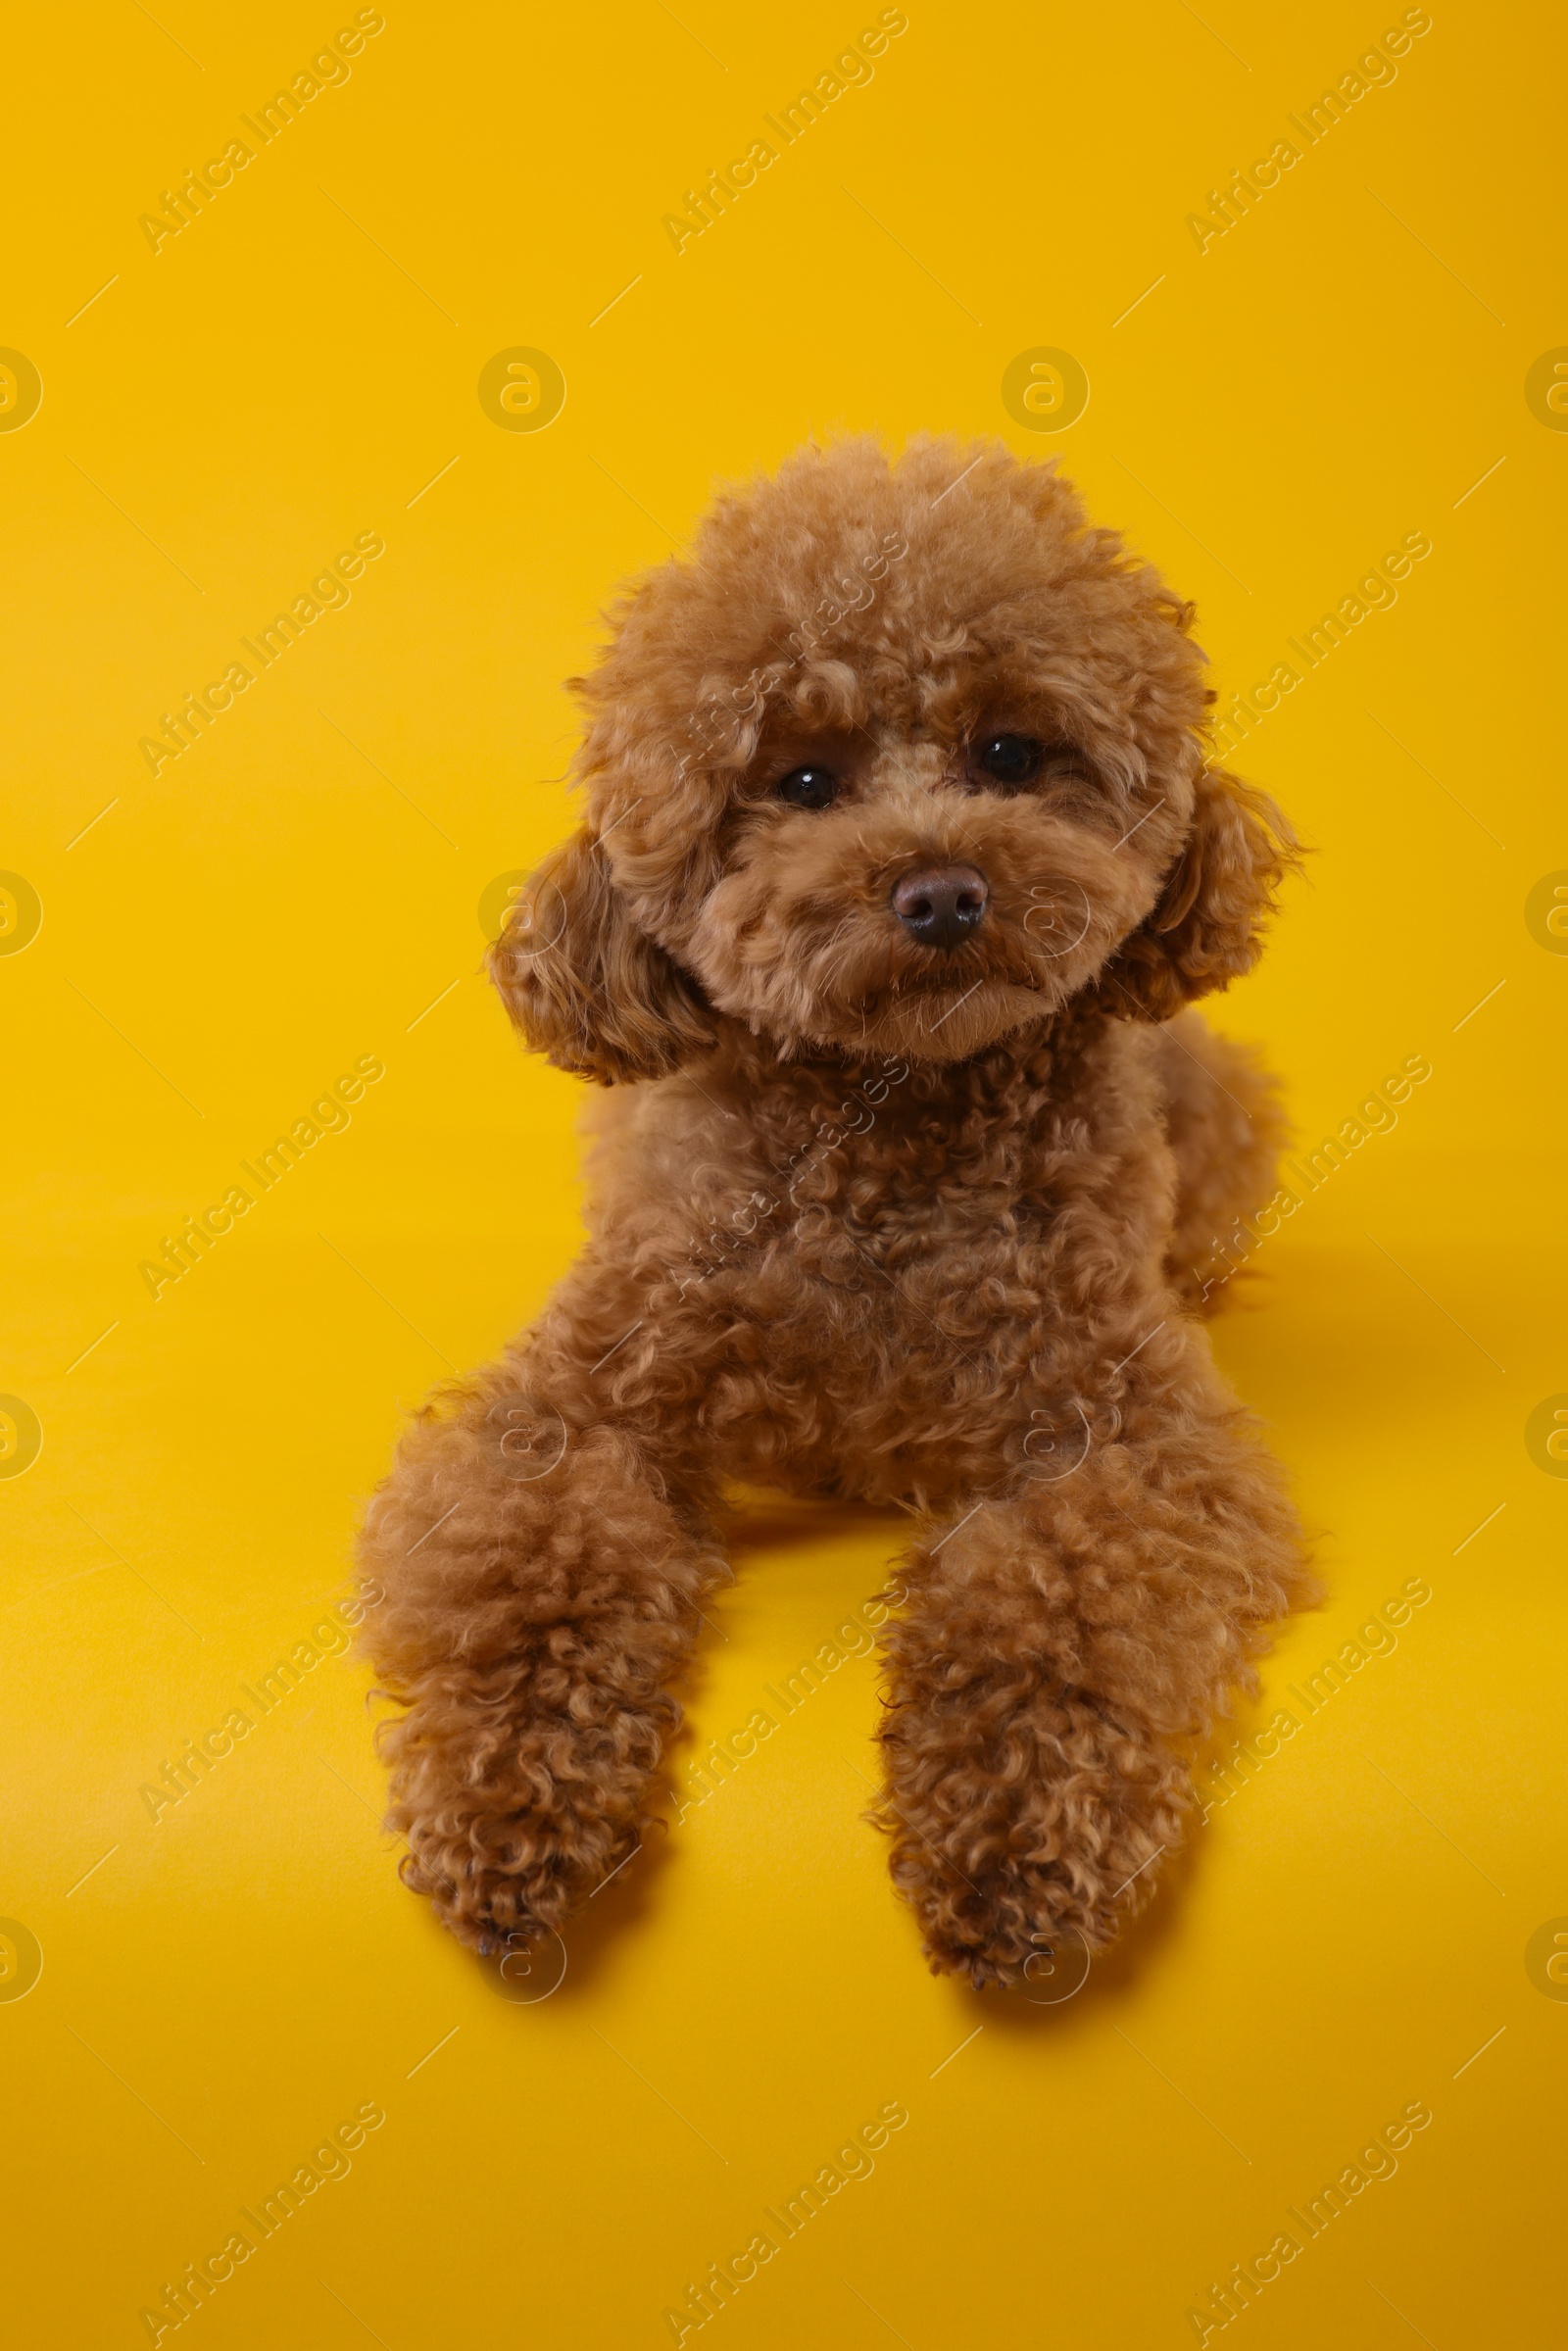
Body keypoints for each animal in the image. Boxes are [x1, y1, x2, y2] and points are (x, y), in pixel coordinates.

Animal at [355, 442, 1316, 1984]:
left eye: (1009, 754)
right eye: (799, 780)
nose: (940, 888)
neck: (889, 1143)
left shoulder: (1127, 1434)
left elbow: (1059, 1606)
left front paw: (1017, 1844)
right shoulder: (564, 1408)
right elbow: (529, 1564)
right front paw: (506, 1803)